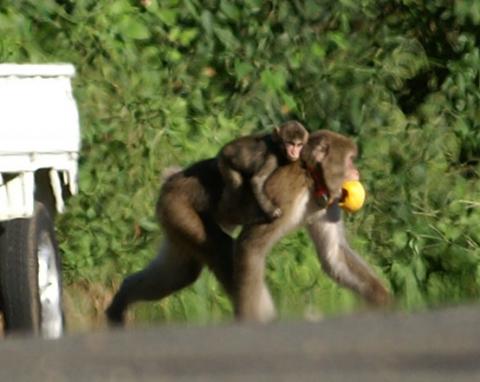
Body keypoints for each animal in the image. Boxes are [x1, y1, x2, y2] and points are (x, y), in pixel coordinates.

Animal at [106, 130, 390, 324]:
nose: (357, 173)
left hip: (173, 218)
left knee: (180, 273)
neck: (311, 177)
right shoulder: (287, 190)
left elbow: (334, 255)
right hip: (180, 208)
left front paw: (381, 302)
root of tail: (172, 180)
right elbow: (250, 246)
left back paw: (120, 303)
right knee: (222, 250)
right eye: (350, 160)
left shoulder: (328, 203)